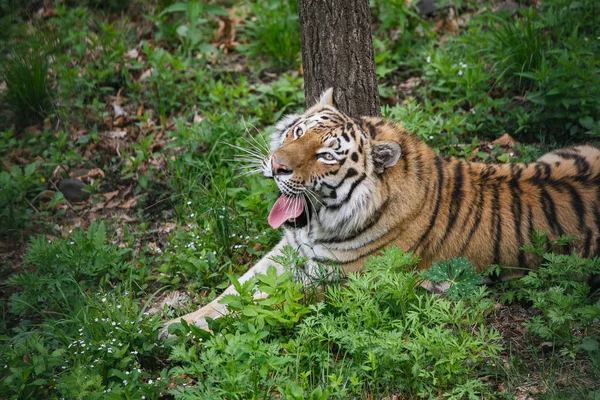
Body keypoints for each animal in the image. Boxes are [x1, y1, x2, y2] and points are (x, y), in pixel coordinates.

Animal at [159, 89, 600, 336]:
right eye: (298, 132)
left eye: (325, 156)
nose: (277, 165)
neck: (317, 225)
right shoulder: (289, 250)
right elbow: (234, 289)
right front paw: (173, 320)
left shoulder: (340, 283)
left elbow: (260, 303)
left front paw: (178, 332)